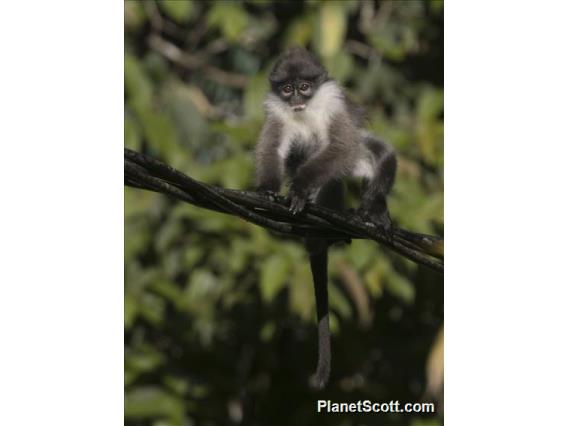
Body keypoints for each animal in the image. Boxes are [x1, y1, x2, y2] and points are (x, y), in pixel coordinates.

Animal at [255, 47, 398, 390]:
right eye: (286, 89)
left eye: (305, 87)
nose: (296, 99)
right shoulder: (276, 112)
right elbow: (271, 148)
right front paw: (268, 191)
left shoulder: (333, 103)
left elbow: (343, 146)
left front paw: (299, 189)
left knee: (373, 154)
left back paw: (369, 213)